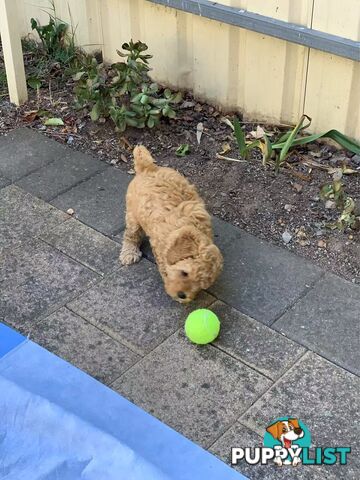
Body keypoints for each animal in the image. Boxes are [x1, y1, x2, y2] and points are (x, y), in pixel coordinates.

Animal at [120, 146, 222, 304]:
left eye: (200, 285)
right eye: (184, 273)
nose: (182, 295)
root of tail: (149, 168)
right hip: (132, 213)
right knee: (131, 234)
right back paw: (129, 253)